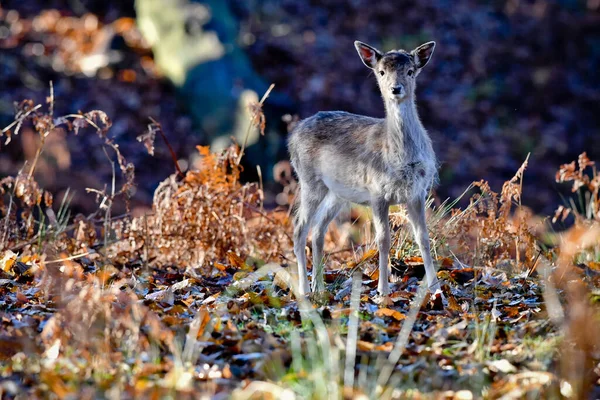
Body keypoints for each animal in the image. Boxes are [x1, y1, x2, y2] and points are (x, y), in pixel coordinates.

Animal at [288, 39, 442, 296]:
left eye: (410, 71)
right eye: (381, 72)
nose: (396, 89)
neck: (402, 159)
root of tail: (292, 136)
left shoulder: (417, 191)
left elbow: (423, 237)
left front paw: (436, 287)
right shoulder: (377, 191)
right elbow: (383, 239)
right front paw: (382, 290)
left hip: (338, 193)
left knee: (318, 229)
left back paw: (319, 286)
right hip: (309, 181)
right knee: (300, 228)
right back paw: (304, 289)